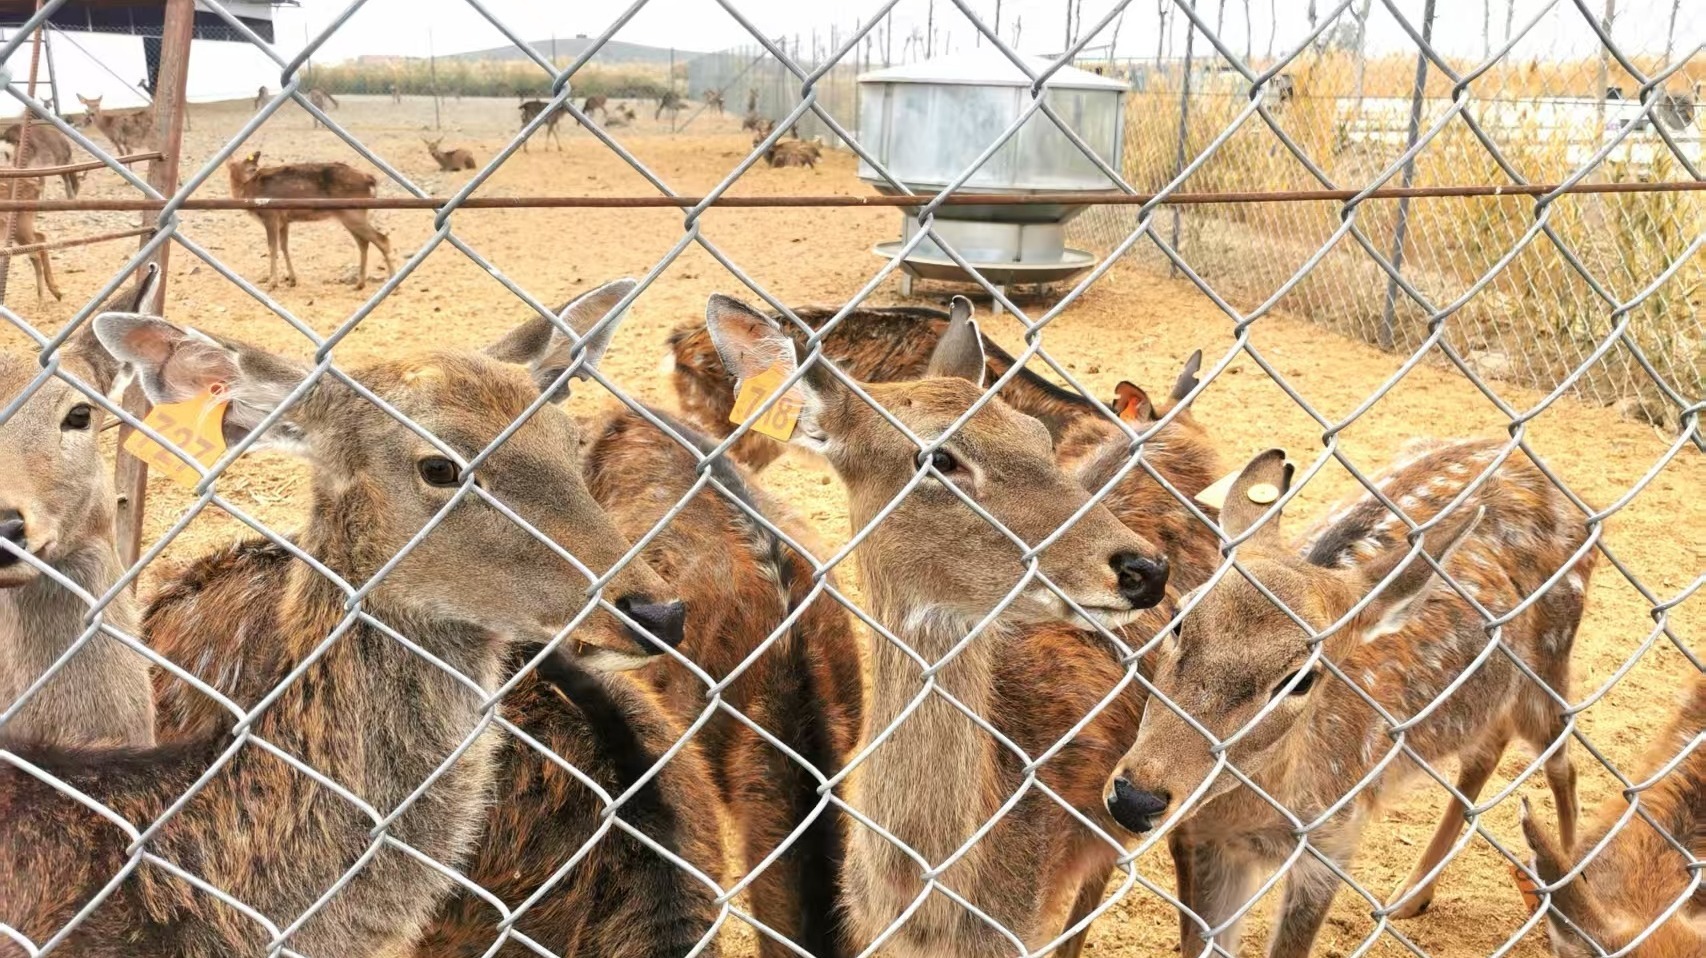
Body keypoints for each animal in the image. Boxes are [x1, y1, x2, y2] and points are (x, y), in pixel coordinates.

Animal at [226, 150, 395, 291]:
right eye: (249, 167)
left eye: (253, 168)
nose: (254, 169)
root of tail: (370, 180)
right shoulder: (284, 221)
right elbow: (284, 246)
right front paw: (292, 280)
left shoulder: (271, 215)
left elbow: (272, 248)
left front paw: (272, 283)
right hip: (351, 215)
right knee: (364, 243)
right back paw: (360, 284)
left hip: (352, 213)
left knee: (382, 239)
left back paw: (393, 284)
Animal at [1107, 437, 1595, 958]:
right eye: (1178, 619)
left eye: (1301, 679)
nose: (1135, 797)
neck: (1256, 809)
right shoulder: (1198, 837)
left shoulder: (1333, 840)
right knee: (1484, 752)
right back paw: (1412, 895)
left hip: (1551, 657)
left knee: (1562, 759)